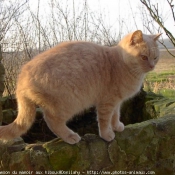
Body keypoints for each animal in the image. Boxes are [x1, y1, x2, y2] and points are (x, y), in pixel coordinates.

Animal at [0, 30, 161, 144]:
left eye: (155, 57)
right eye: (144, 57)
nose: (152, 66)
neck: (120, 64)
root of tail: (21, 77)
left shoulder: (116, 102)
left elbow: (115, 115)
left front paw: (116, 126)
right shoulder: (106, 102)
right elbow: (104, 120)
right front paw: (107, 134)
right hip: (66, 104)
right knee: (52, 121)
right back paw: (70, 136)